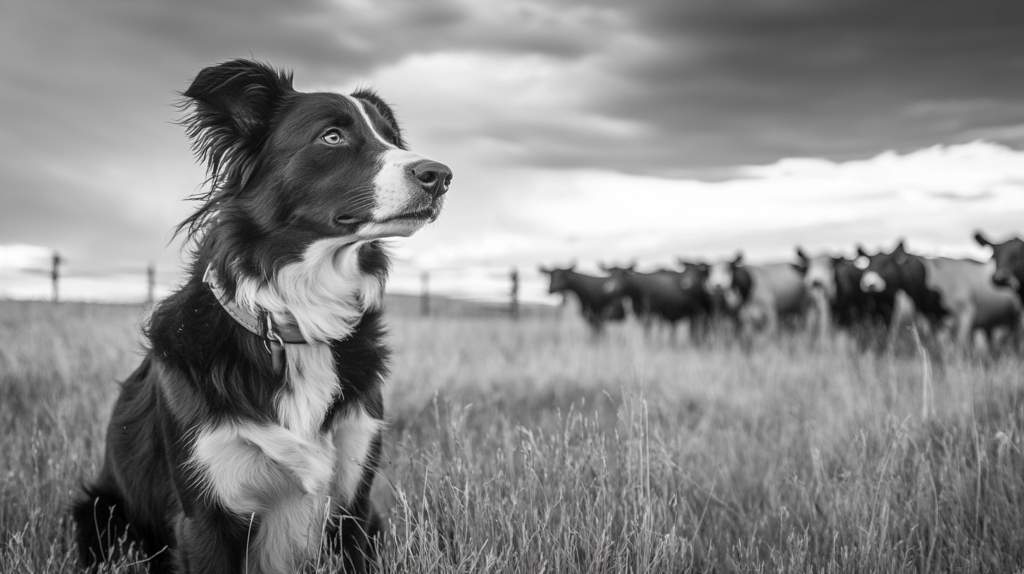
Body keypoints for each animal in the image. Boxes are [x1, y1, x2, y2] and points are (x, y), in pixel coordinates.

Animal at [72, 60, 452, 568]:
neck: (295, 325)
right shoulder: (206, 515)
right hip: (99, 511)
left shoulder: (354, 505)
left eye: (393, 139)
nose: (441, 174)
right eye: (332, 136)